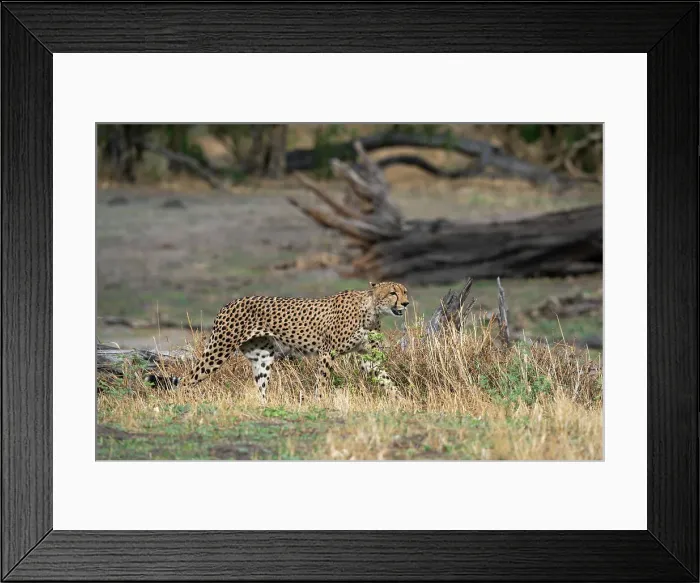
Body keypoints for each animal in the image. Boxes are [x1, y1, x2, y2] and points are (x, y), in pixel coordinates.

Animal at [147, 281, 409, 400]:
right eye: (393, 292)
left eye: (405, 291)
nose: (406, 303)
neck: (372, 310)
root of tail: (230, 302)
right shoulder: (327, 353)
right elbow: (322, 382)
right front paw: (320, 403)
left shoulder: (367, 358)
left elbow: (386, 379)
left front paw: (401, 400)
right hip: (218, 350)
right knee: (187, 380)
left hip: (262, 356)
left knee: (261, 387)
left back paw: (266, 407)